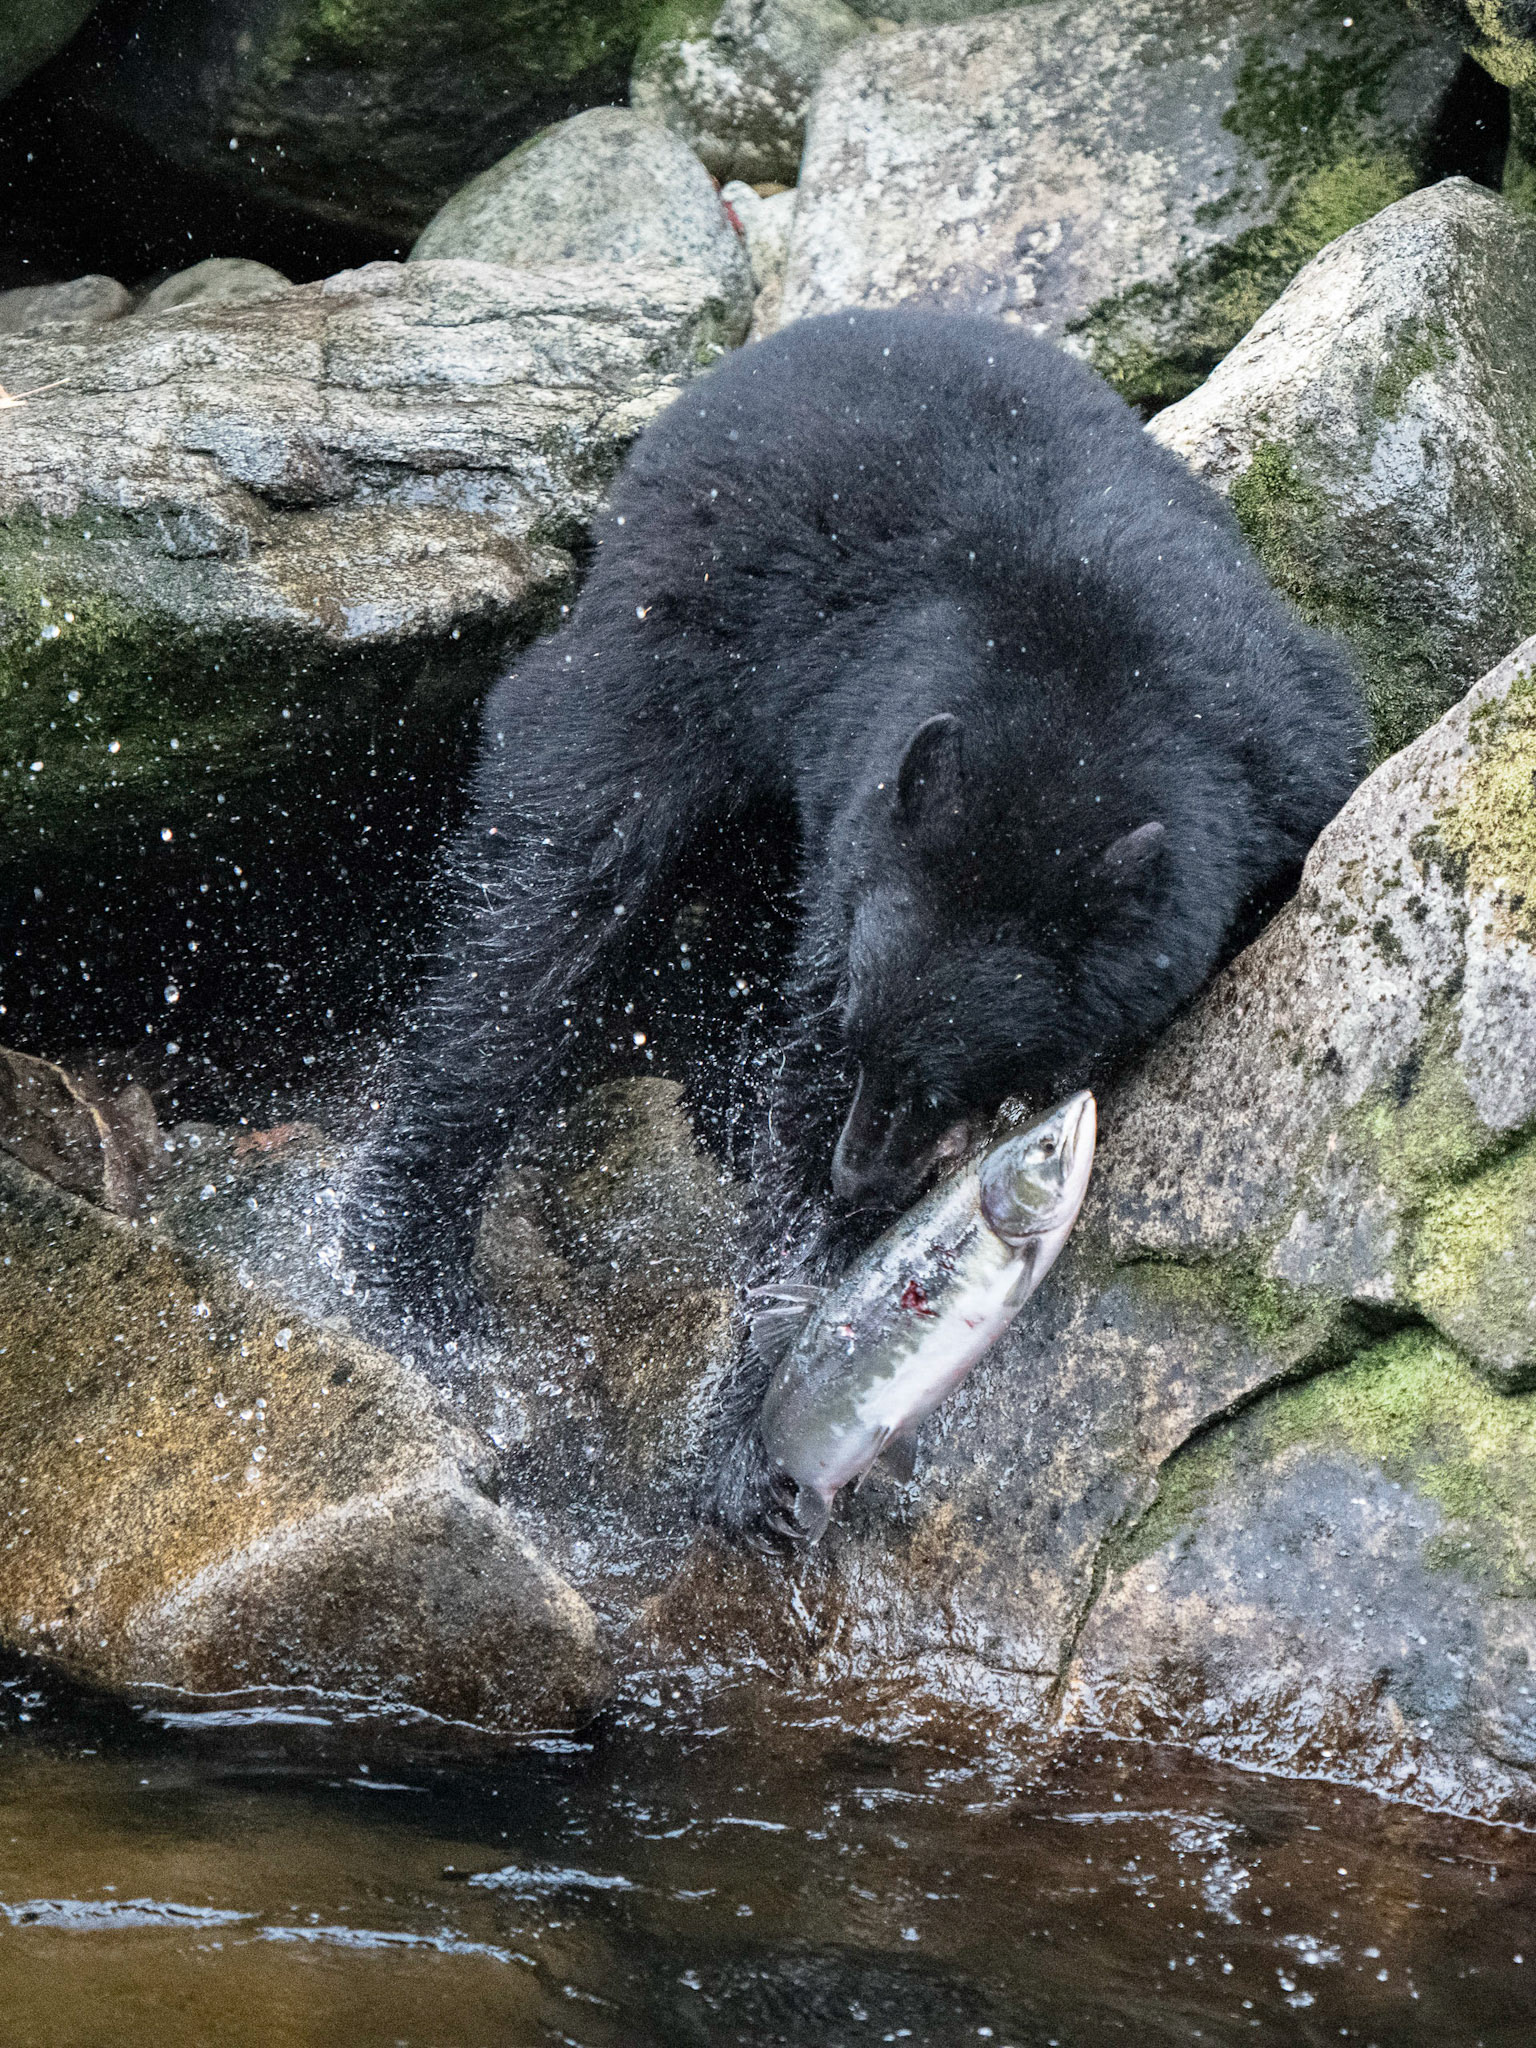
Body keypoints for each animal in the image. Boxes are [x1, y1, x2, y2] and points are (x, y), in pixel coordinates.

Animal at [345, 307, 1364, 1430]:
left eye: (959, 1077)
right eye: (865, 1041)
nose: (854, 1173)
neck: (1079, 700)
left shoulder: (1289, 753)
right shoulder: (857, 821)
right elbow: (794, 1060)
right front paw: (775, 1342)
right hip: (665, 648)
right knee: (540, 912)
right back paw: (410, 1266)